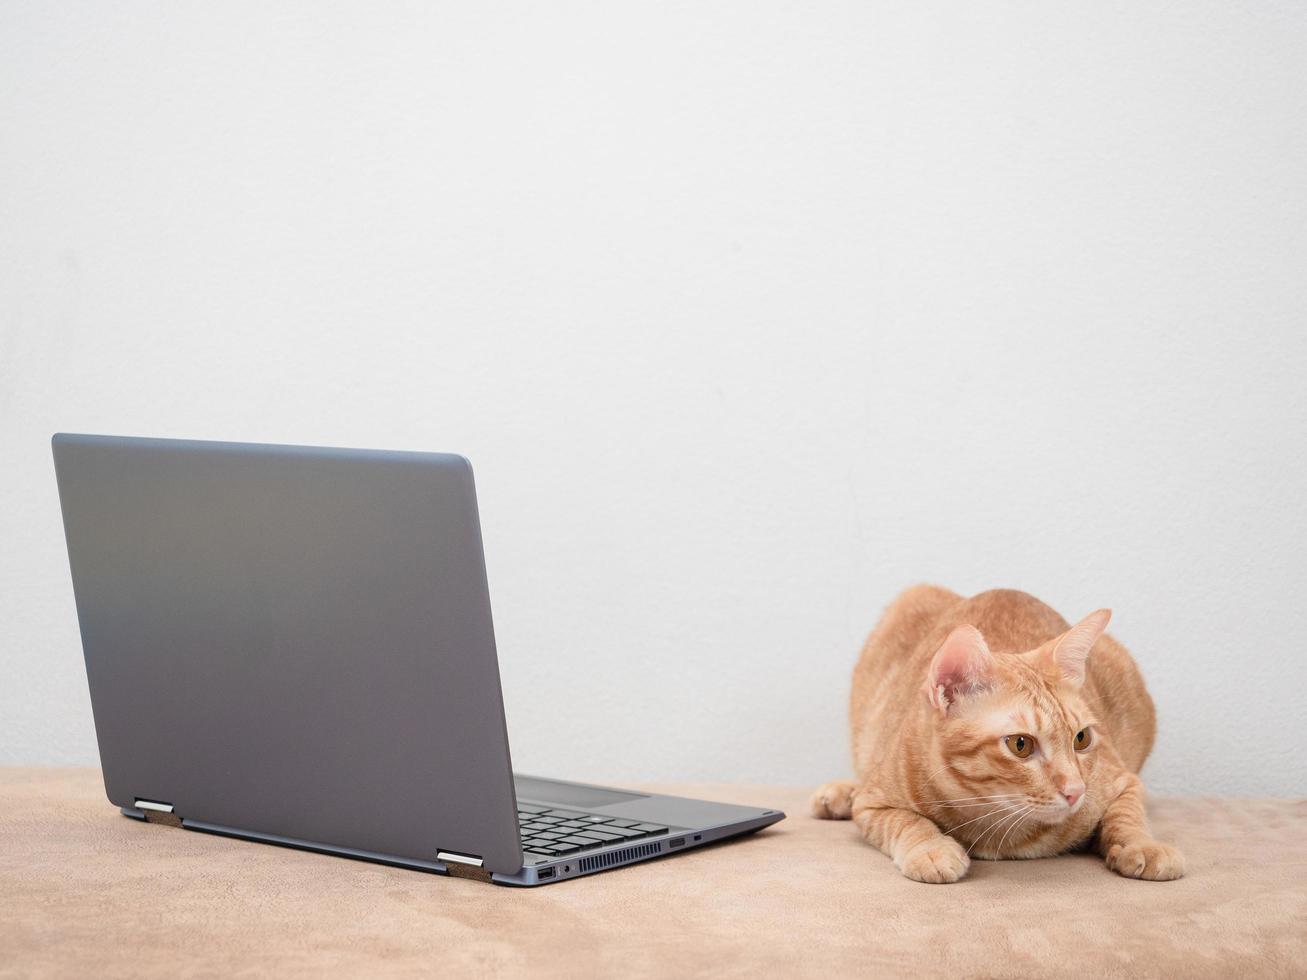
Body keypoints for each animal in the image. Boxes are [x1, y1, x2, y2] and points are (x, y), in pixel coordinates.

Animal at [805, 588, 1186, 888]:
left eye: (1081, 739)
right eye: (1021, 745)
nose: (1076, 791)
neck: (993, 818)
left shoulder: (1123, 780)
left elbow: (1128, 815)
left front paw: (1141, 844)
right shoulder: (873, 804)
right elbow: (905, 821)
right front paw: (931, 848)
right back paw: (841, 792)